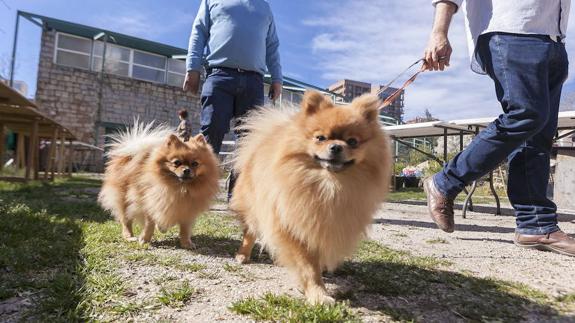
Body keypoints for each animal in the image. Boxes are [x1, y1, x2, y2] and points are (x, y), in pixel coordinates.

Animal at [232, 90, 394, 304]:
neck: (330, 186)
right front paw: (318, 294)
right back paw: (243, 255)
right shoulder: (294, 226)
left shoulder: (325, 225)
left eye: (352, 141)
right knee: (249, 232)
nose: (336, 146)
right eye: (320, 138)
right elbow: (308, 266)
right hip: (253, 208)